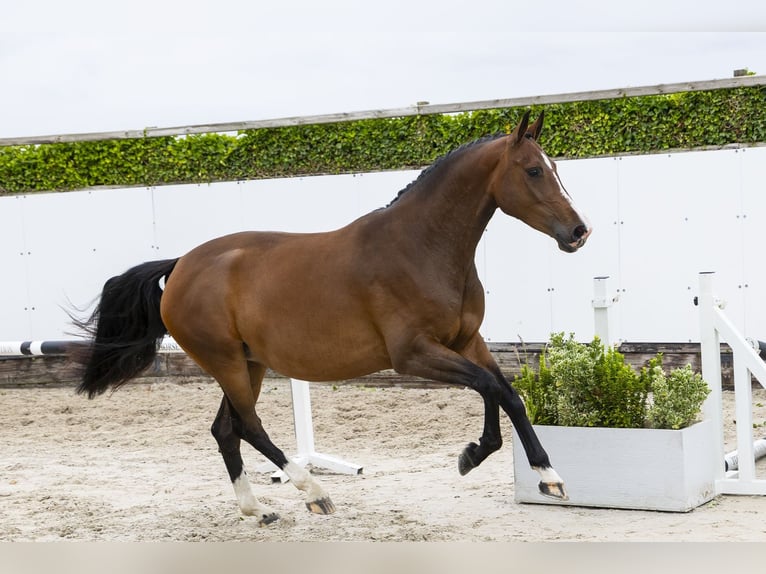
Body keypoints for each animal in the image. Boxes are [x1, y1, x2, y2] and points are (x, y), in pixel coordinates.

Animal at [75, 110, 591, 525]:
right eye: (533, 170)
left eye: (556, 168)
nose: (579, 232)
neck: (420, 247)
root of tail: (180, 264)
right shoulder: (414, 355)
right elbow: (492, 388)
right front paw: (510, 466)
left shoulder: (467, 342)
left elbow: (506, 393)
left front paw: (521, 468)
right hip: (226, 363)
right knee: (248, 427)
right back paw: (314, 492)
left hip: (248, 363)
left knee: (226, 430)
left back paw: (258, 510)